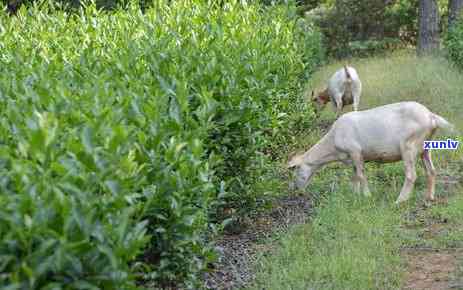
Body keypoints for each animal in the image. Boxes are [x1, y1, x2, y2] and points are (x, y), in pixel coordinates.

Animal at [288, 102, 454, 204]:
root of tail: (431, 116)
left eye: (297, 170)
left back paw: (400, 200)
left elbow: (361, 175)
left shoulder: (355, 151)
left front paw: (367, 196)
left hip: (408, 146)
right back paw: (430, 197)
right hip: (425, 147)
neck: (332, 145)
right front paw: (355, 195)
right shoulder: (353, 158)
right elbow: (355, 176)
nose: (297, 190)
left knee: (411, 175)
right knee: (431, 171)